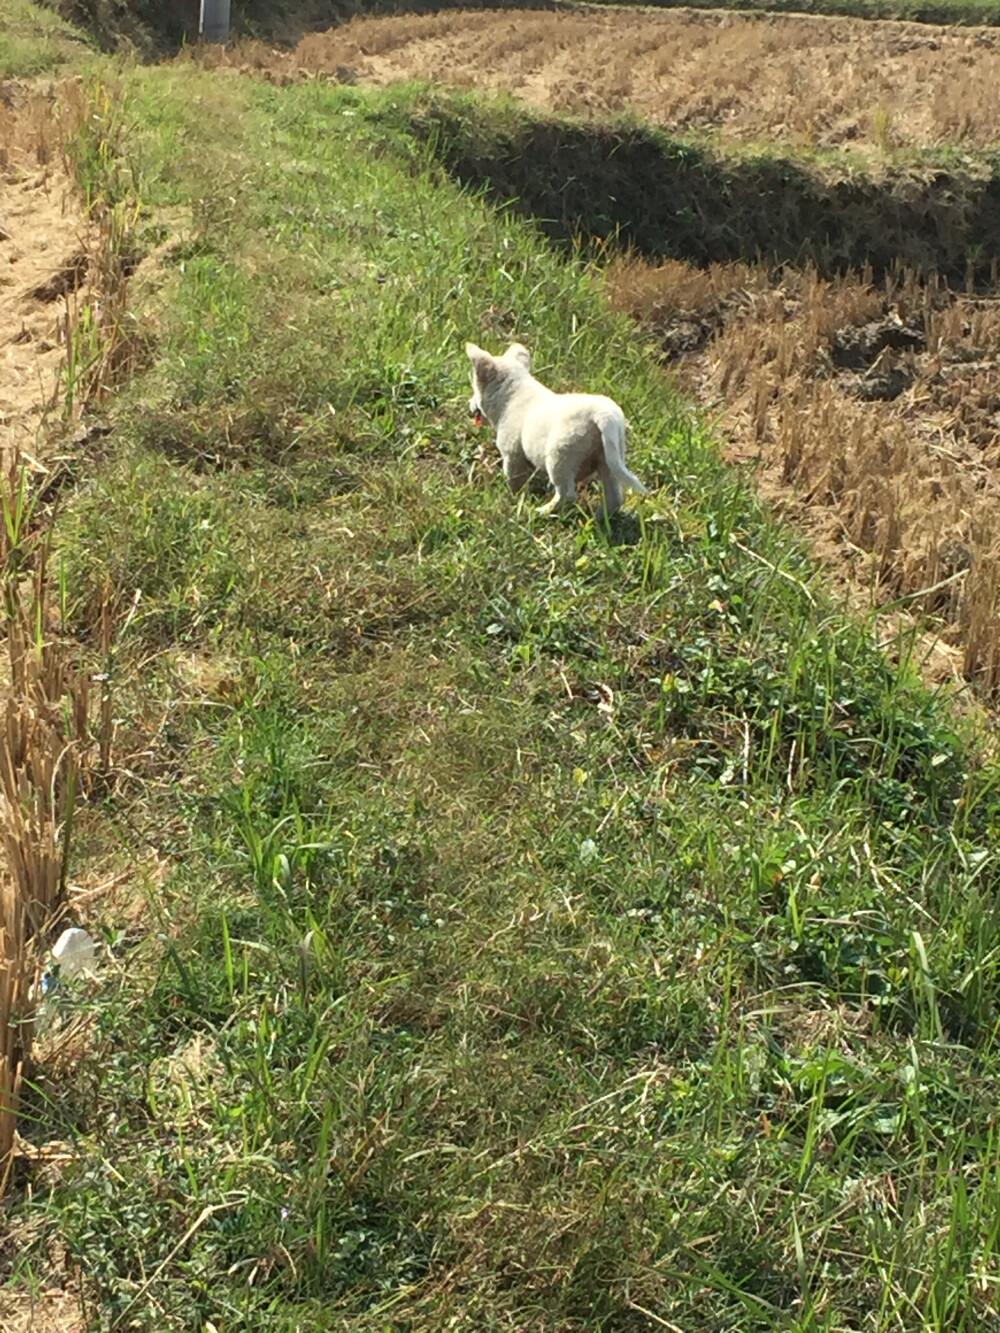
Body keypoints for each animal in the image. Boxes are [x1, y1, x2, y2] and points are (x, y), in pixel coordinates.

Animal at [469, 341, 650, 517]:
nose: (469, 404)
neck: (511, 395)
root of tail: (604, 415)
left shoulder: (512, 454)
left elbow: (514, 480)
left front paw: (514, 497)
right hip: (610, 458)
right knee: (614, 497)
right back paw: (599, 518)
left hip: (559, 456)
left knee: (567, 494)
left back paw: (542, 511)